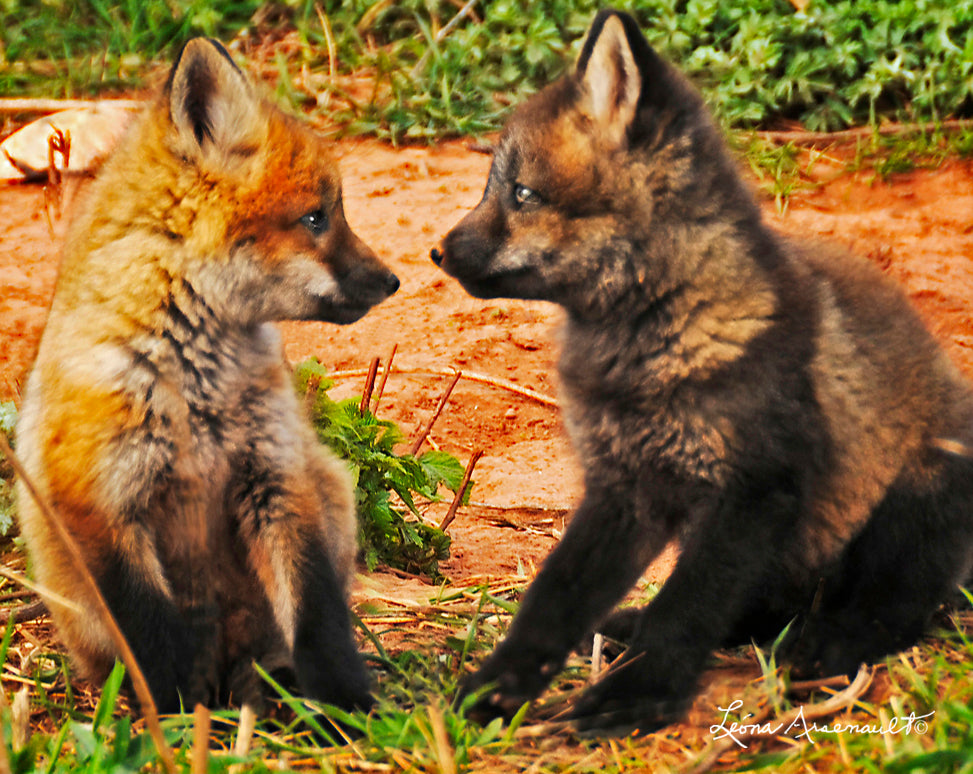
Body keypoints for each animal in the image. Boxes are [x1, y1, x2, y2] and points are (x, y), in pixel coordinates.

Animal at [15, 38, 399, 714]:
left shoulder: (277, 476)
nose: (393, 281)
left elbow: (320, 619)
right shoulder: (102, 502)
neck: (197, 382)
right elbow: (152, 639)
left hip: (329, 490)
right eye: (316, 218)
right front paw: (172, 722)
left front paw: (350, 710)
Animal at [432, 9, 973, 734]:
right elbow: (551, 602)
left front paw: (638, 696)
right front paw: (494, 692)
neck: (649, 342)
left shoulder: (753, 492)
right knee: (763, 611)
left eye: (522, 194)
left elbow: (684, 608)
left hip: (901, 506)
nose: (437, 252)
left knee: (895, 609)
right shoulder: (623, 491)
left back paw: (827, 646)